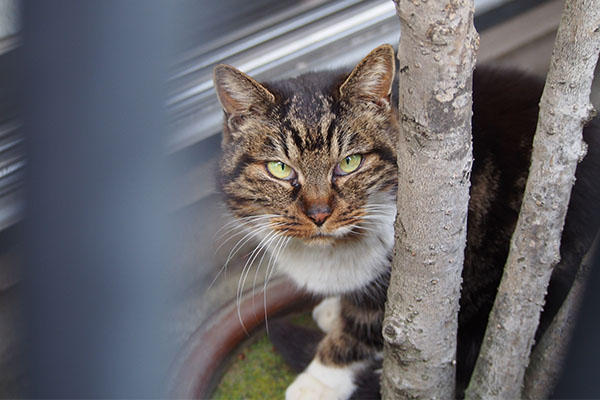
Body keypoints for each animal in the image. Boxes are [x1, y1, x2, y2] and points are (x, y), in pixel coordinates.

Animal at [211, 45, 600, 398]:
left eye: (350, 162)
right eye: (279, 168)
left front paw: (318, 381)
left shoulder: (401, 289)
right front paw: (333, 310)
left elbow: (360, 332)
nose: (319, 213)